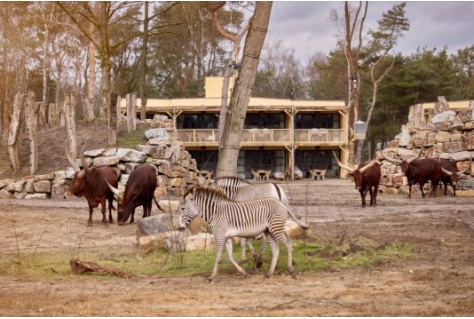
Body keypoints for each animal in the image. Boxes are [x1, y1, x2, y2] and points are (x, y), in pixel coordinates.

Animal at [177, 188, 308, 282]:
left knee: (288, 245)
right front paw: (244, 273)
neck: (215, 213)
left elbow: (217, 256)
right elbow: (230, 257)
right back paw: (269, 273)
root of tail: (282, 204)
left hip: (275, 228)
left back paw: (291, 270)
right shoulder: (227, 237)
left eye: (183, 208)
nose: (179, 227)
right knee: (276, 249)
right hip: (269, 231)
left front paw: (211, 277)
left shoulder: (219, 235)